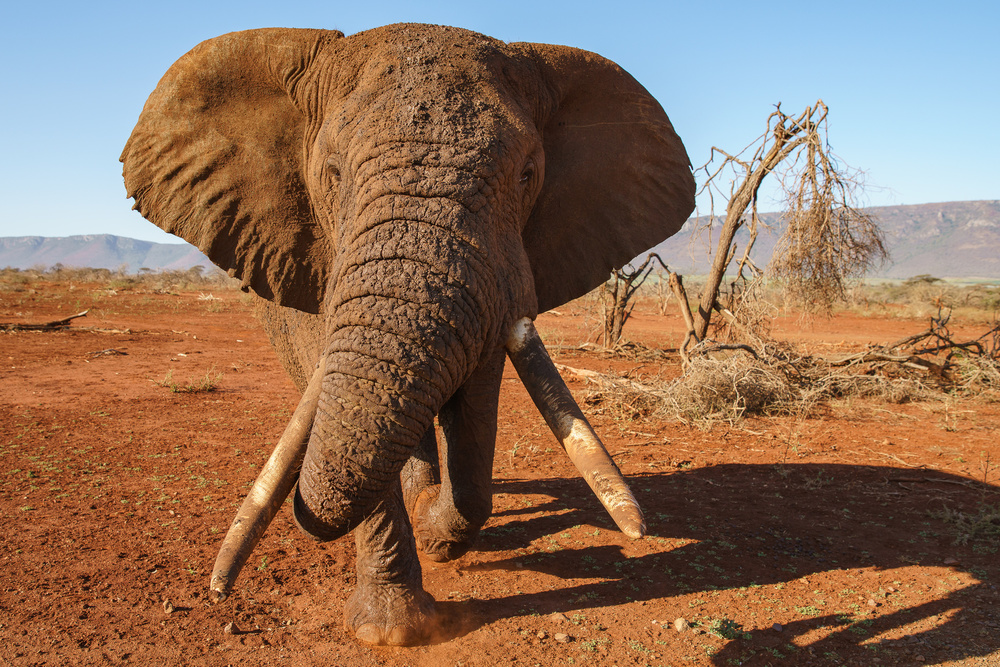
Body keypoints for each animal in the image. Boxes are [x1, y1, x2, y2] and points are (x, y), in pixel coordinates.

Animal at [121, 23, 694, 645]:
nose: (217, 591)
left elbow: (472, 414)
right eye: (332, 175)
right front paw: (392, 631)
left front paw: (433, 529)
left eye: (528, 175)